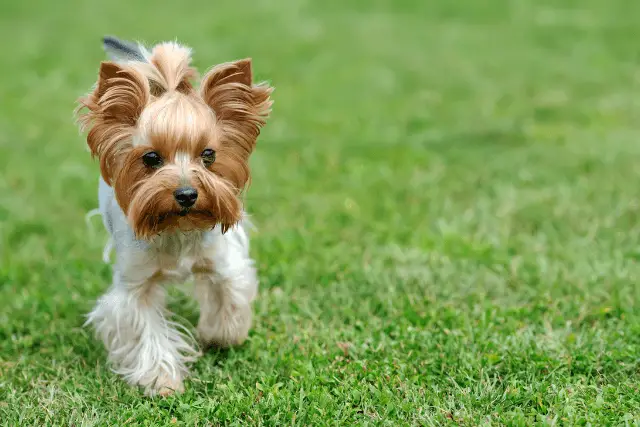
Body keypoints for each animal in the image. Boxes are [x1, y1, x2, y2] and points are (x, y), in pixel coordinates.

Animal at [75, 37, 272, 398]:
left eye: (208, 154)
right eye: (151, 158)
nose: (186, 194)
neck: (177, 227)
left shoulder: (223, 260)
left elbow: (230, 293)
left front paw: (219, 336)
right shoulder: (135, 284)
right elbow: (144, 326)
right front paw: (162, 380)